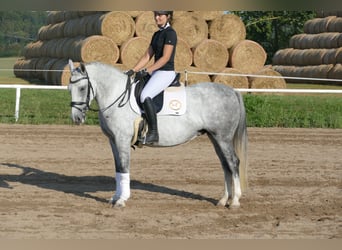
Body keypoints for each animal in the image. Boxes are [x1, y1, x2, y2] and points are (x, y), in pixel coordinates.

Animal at [68, 61, 247, 209]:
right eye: (69, 89)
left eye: (82, 88)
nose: (76, 119)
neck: (116, 95)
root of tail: (232, 91)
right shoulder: (113, 141)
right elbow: (118, 168)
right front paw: (115, 197)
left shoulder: (122, 140)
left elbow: (125, 167)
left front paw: (121, 200)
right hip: (215, 137)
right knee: (225, 165)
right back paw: (223, 200)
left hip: (223, 138)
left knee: (233, 162)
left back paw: (235, 201)